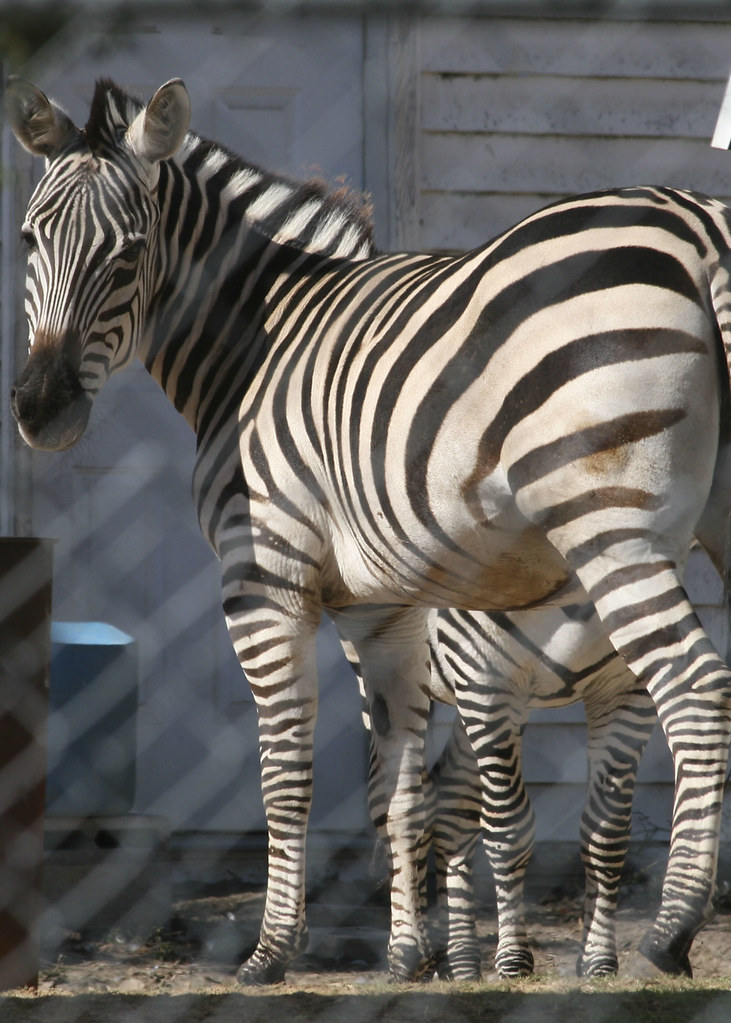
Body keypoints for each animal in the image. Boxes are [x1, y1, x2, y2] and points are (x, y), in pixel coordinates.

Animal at [7, 76, 731, 983]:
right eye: (29, 239)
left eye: (130, 254)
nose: (41, 411)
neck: (258, 341)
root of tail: (698, 230)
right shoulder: (378, 606)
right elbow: (399, 789)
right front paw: (408, 956)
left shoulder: (262, 573)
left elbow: (287, 771)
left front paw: (271, 951)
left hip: (609, 521)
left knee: (696, 686)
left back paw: (670, 929)